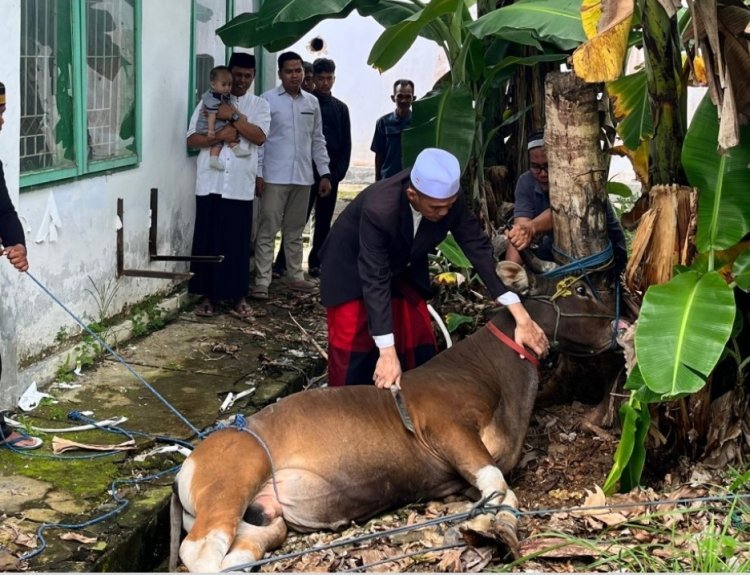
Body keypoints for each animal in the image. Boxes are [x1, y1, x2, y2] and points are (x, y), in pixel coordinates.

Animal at [173, 264, 624, 572]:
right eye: (580, 288)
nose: (621, 324)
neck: (491, 372)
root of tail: (192, 458)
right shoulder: (446, 428)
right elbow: (500, 486)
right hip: (234, 478)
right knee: (197, 550)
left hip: (267, 519)